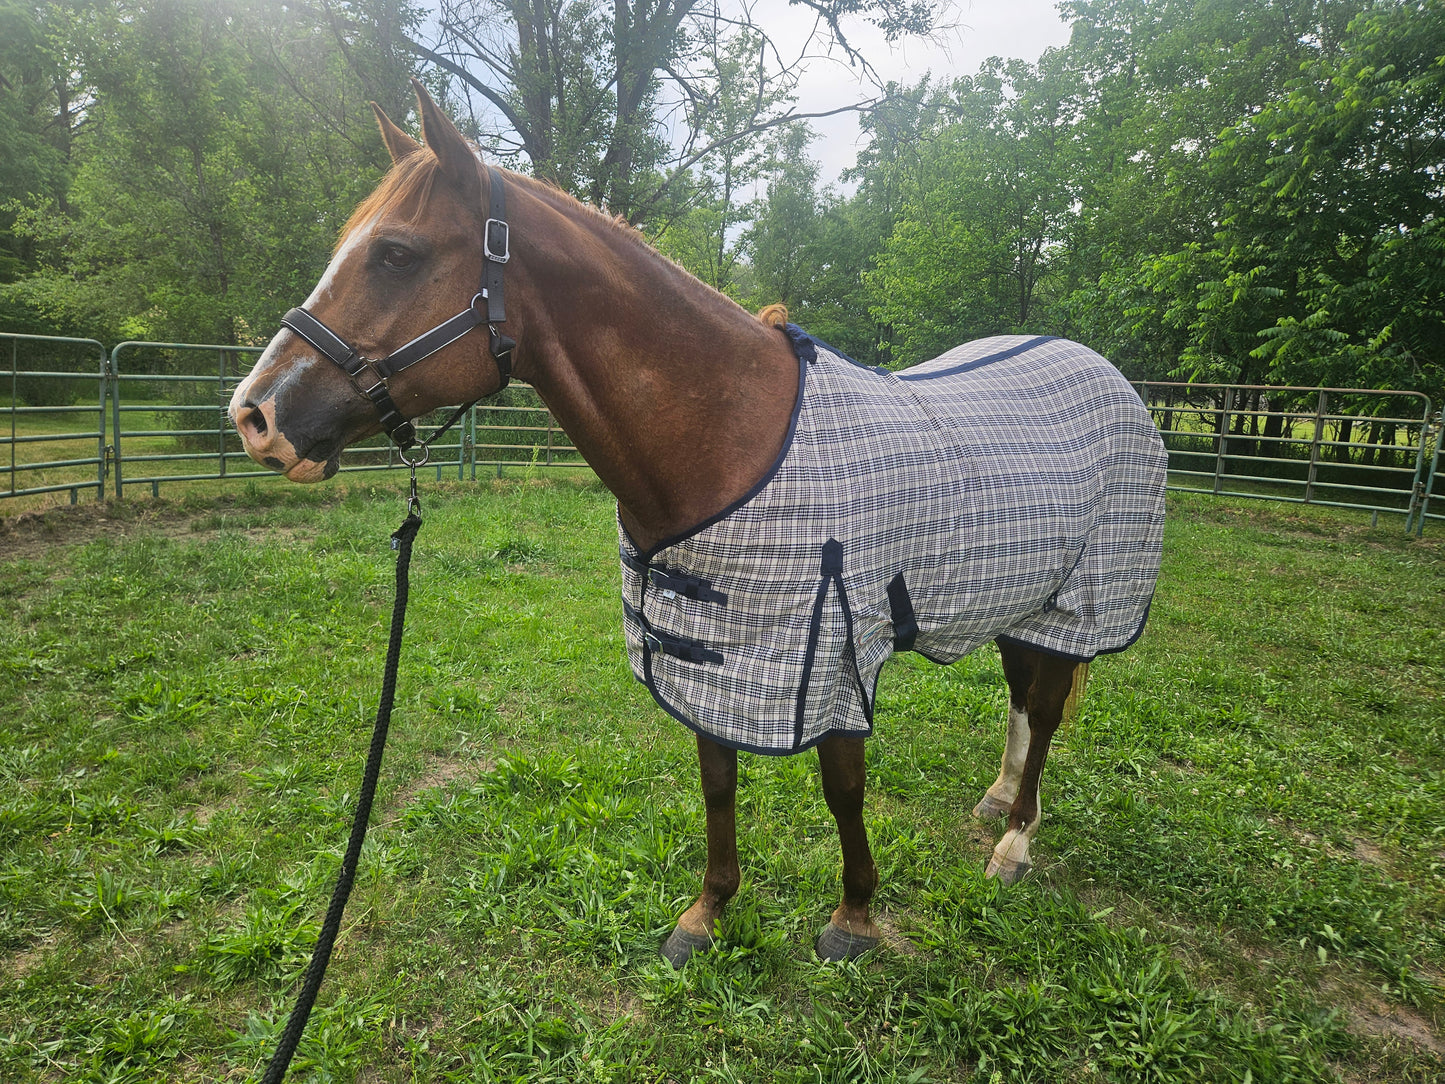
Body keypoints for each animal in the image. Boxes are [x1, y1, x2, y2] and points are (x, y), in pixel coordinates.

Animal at [230, 79, 1167, 967]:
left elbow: (842, 788)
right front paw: (707, 912)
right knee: (1023, 696)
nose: (255, 417)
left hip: (1080, 598)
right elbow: (716, 780)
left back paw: (1013, 844)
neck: (727, 436)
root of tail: (1106, 375)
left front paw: (854, 916)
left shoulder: (829, 651)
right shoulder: (707, 651)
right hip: (1022, 595)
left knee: (1044, 708)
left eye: (396, 253)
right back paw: (1002, 800)